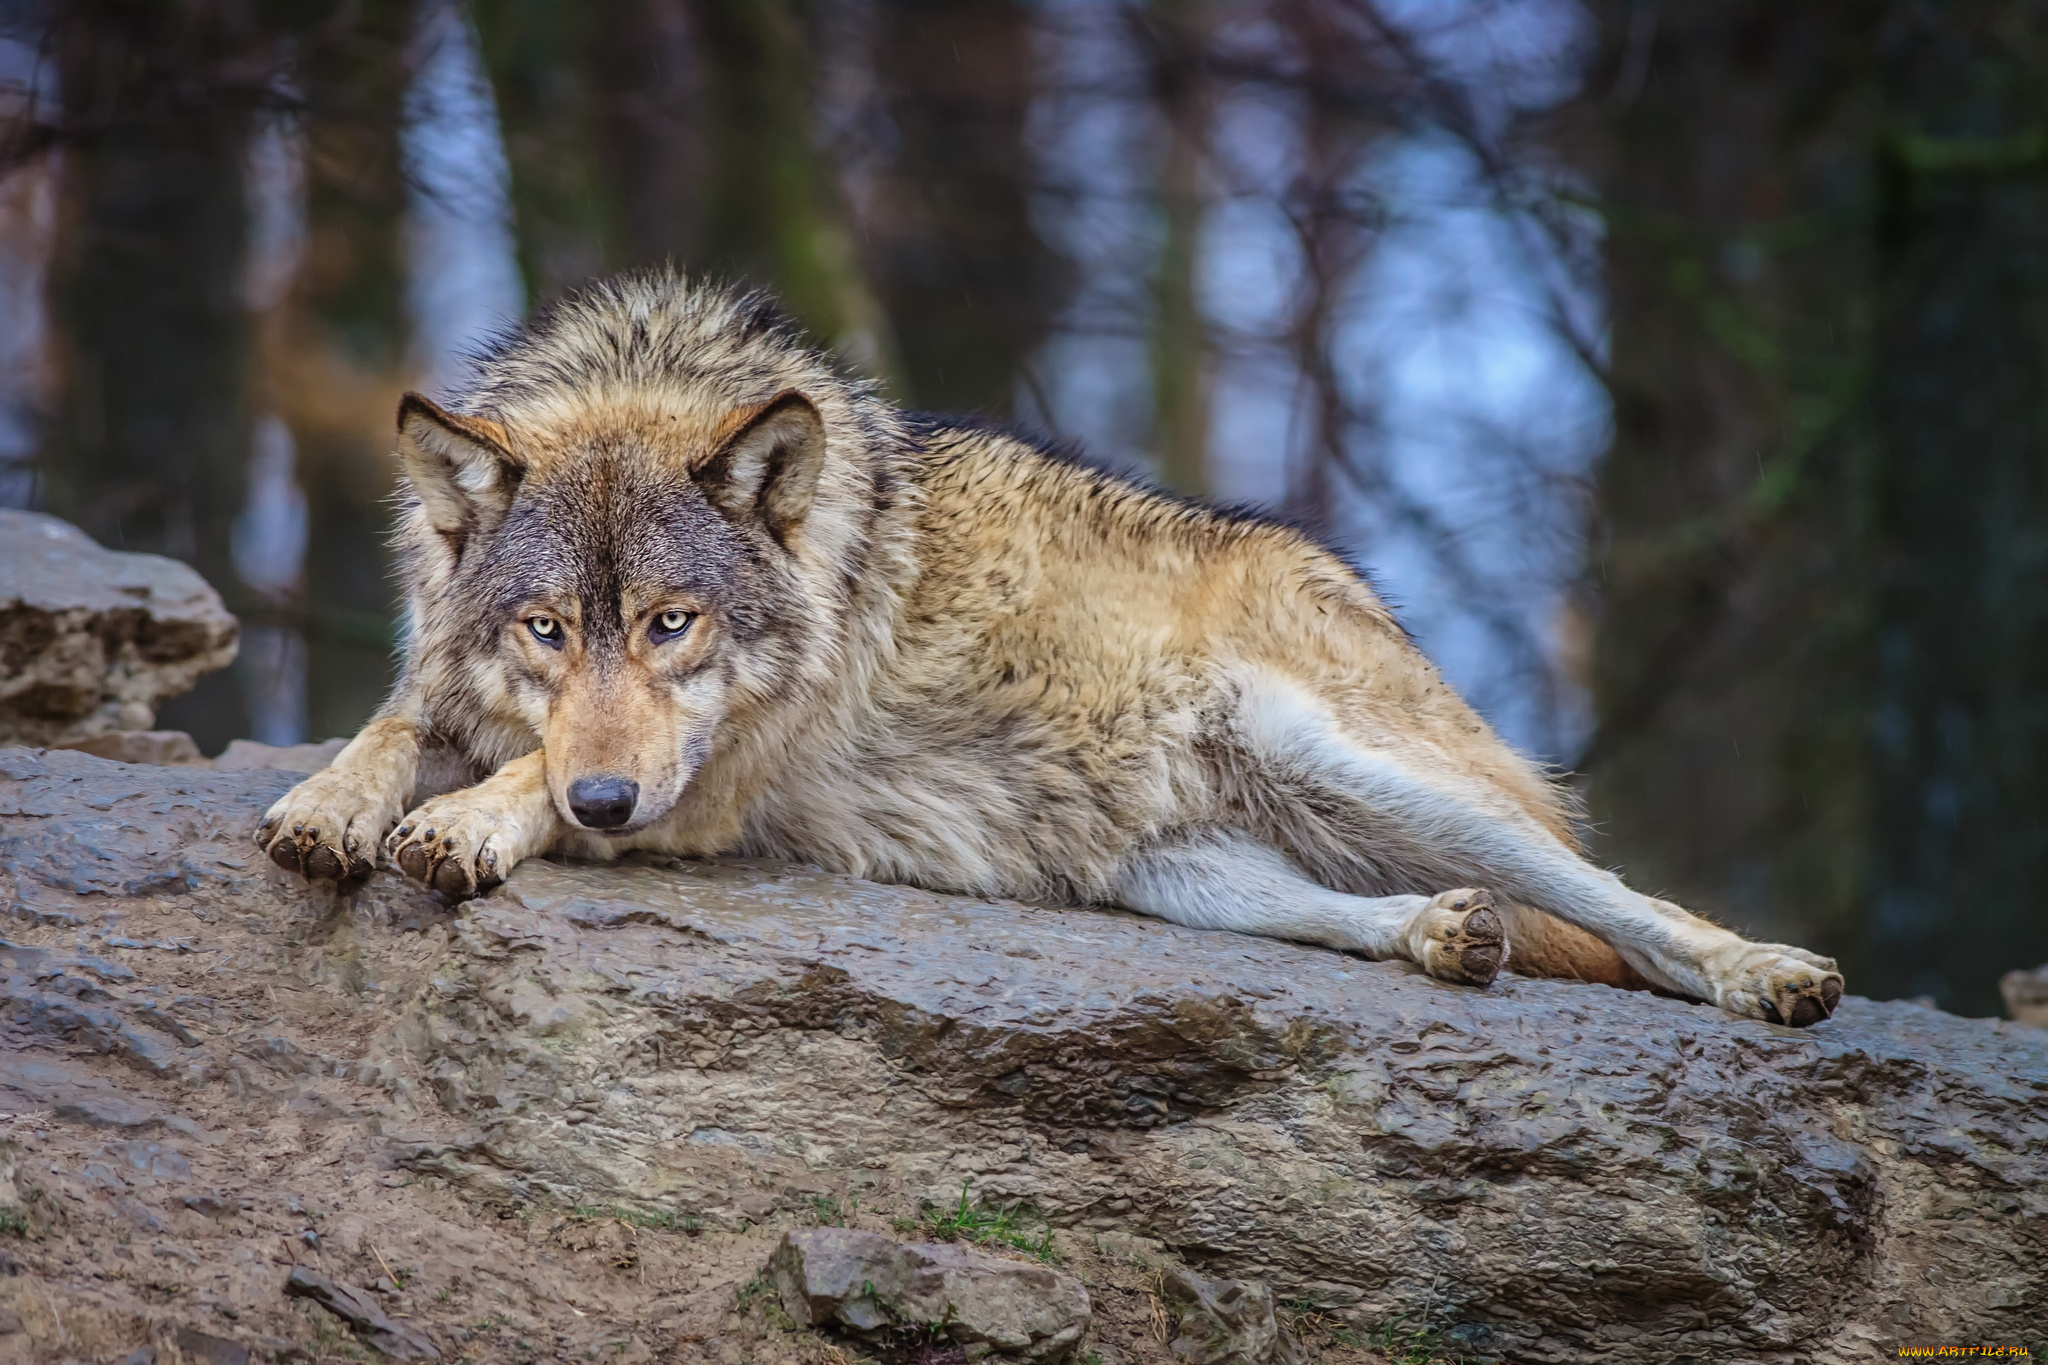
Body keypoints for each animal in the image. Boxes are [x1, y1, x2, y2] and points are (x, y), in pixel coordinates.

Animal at [251, 272, 1843, 1023]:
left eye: (670, 624)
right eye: (546, 627)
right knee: (1384, 916)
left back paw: (1765, 973)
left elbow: (519, 781)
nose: (602, 801)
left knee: (1625, 905)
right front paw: (329, 806)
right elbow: (390, 729)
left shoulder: (703, 793)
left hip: (1359, 767)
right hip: (1175, 878)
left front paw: (467, 822)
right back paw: (1443, 935)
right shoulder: (452, 688)